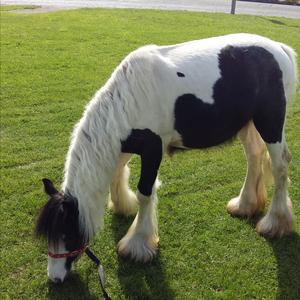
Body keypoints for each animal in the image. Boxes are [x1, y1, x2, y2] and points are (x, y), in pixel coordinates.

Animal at [35, 33, 298, 284]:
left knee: (279, 166)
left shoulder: (153, 150)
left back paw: (275, 223)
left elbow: (145, 193)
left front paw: (138, 244)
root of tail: (279, 48)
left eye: (67, 233)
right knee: (254, 157)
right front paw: (122, 205)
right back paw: (245, 205)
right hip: (247, 124)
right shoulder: (124, 144)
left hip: (270, 123)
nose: (55, 278)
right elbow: (118, 174)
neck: (129, 101)